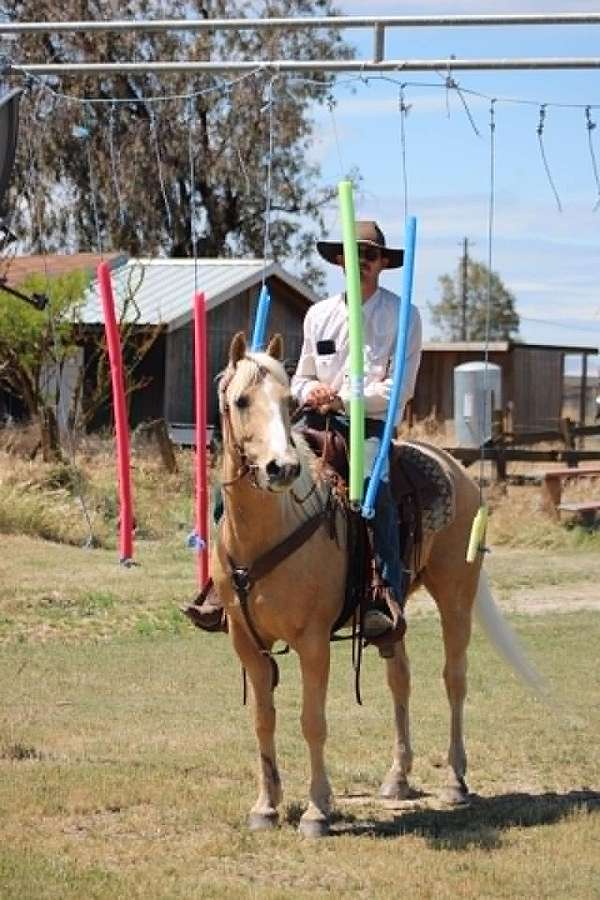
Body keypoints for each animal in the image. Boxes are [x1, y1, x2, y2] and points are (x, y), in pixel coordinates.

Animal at [209, 330, 535, 838]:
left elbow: (312, 721)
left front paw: (317, 811)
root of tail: (453, 467)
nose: (282, 468)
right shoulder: (246, 642)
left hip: (456, 596)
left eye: (287, 403)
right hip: (391, 613)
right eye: (242, 400)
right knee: (400, 677)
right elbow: (263, 719)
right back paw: (397, 777)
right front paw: (266, 806)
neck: (273, 528)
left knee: (454, 679)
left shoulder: (313, 641)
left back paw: (456, 781)